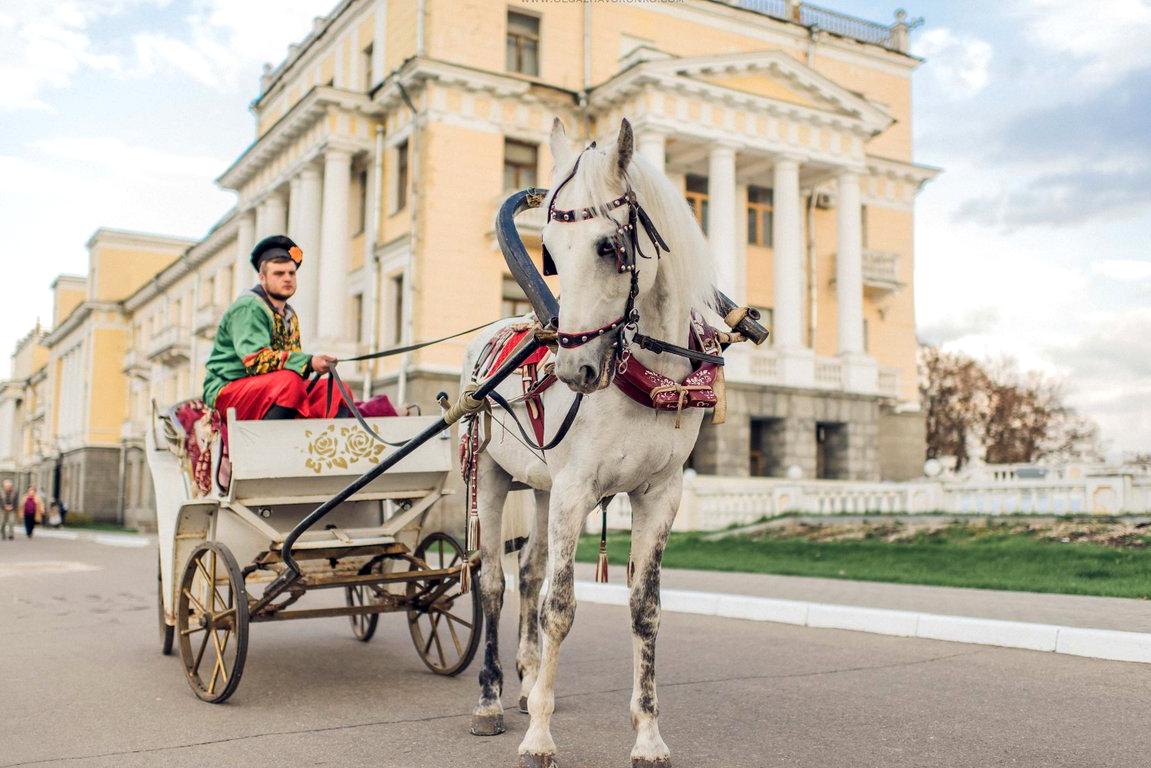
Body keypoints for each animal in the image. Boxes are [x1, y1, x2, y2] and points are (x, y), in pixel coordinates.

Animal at [460, 115, 713, 768]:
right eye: (548, 251)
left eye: (609, 247)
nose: (574, 370)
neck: (646, 376)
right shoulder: (577, 490)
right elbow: (561, 607)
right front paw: (539, 737)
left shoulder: (659, 494)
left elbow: (645, 609)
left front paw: (648, 735)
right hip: (492, 477)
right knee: (494, 582)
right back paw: (491, 700)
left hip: (542, 488)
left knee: (528, 572)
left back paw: (526, 683)